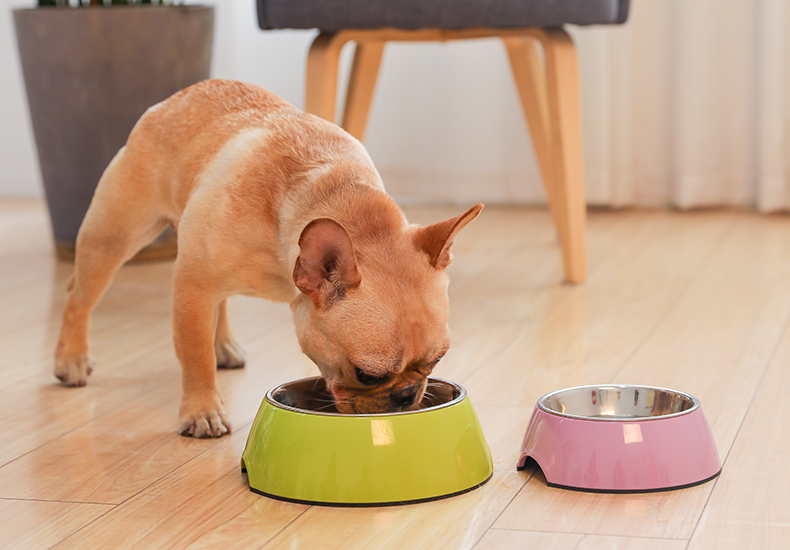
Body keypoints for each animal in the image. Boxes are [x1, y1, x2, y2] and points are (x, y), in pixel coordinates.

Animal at [54, 78, 482, 440]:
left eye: (436, 361)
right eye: (367, 375)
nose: (406, 394)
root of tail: (174, 100)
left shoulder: (204, 280)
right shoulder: (193, 285)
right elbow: (194, 355)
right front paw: (201, 411)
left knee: (220, 303)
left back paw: (224, 345)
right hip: (114, 236)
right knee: (78, 294)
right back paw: (71, 360)